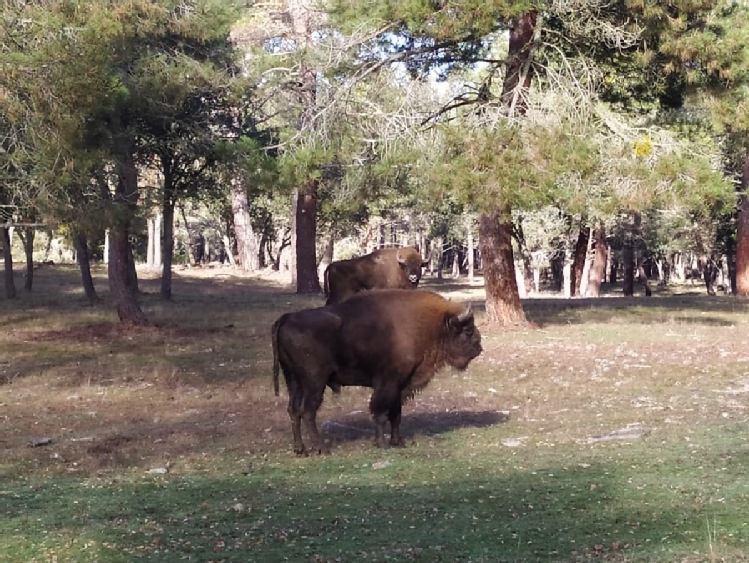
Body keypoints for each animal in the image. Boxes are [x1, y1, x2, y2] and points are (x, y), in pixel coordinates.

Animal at [272, 288, 482, 456]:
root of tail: (287, 318)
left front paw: (398, 442)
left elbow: (396, 414)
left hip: (292, 379)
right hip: (314, 381)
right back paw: (323, 448)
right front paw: (382, 444)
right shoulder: (387, 383)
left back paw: (300, 449)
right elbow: (380, 413)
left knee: (293, 410)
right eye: (468, 331)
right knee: (307, 411)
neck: (432, 325)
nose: (478, 349)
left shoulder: (400, 386)